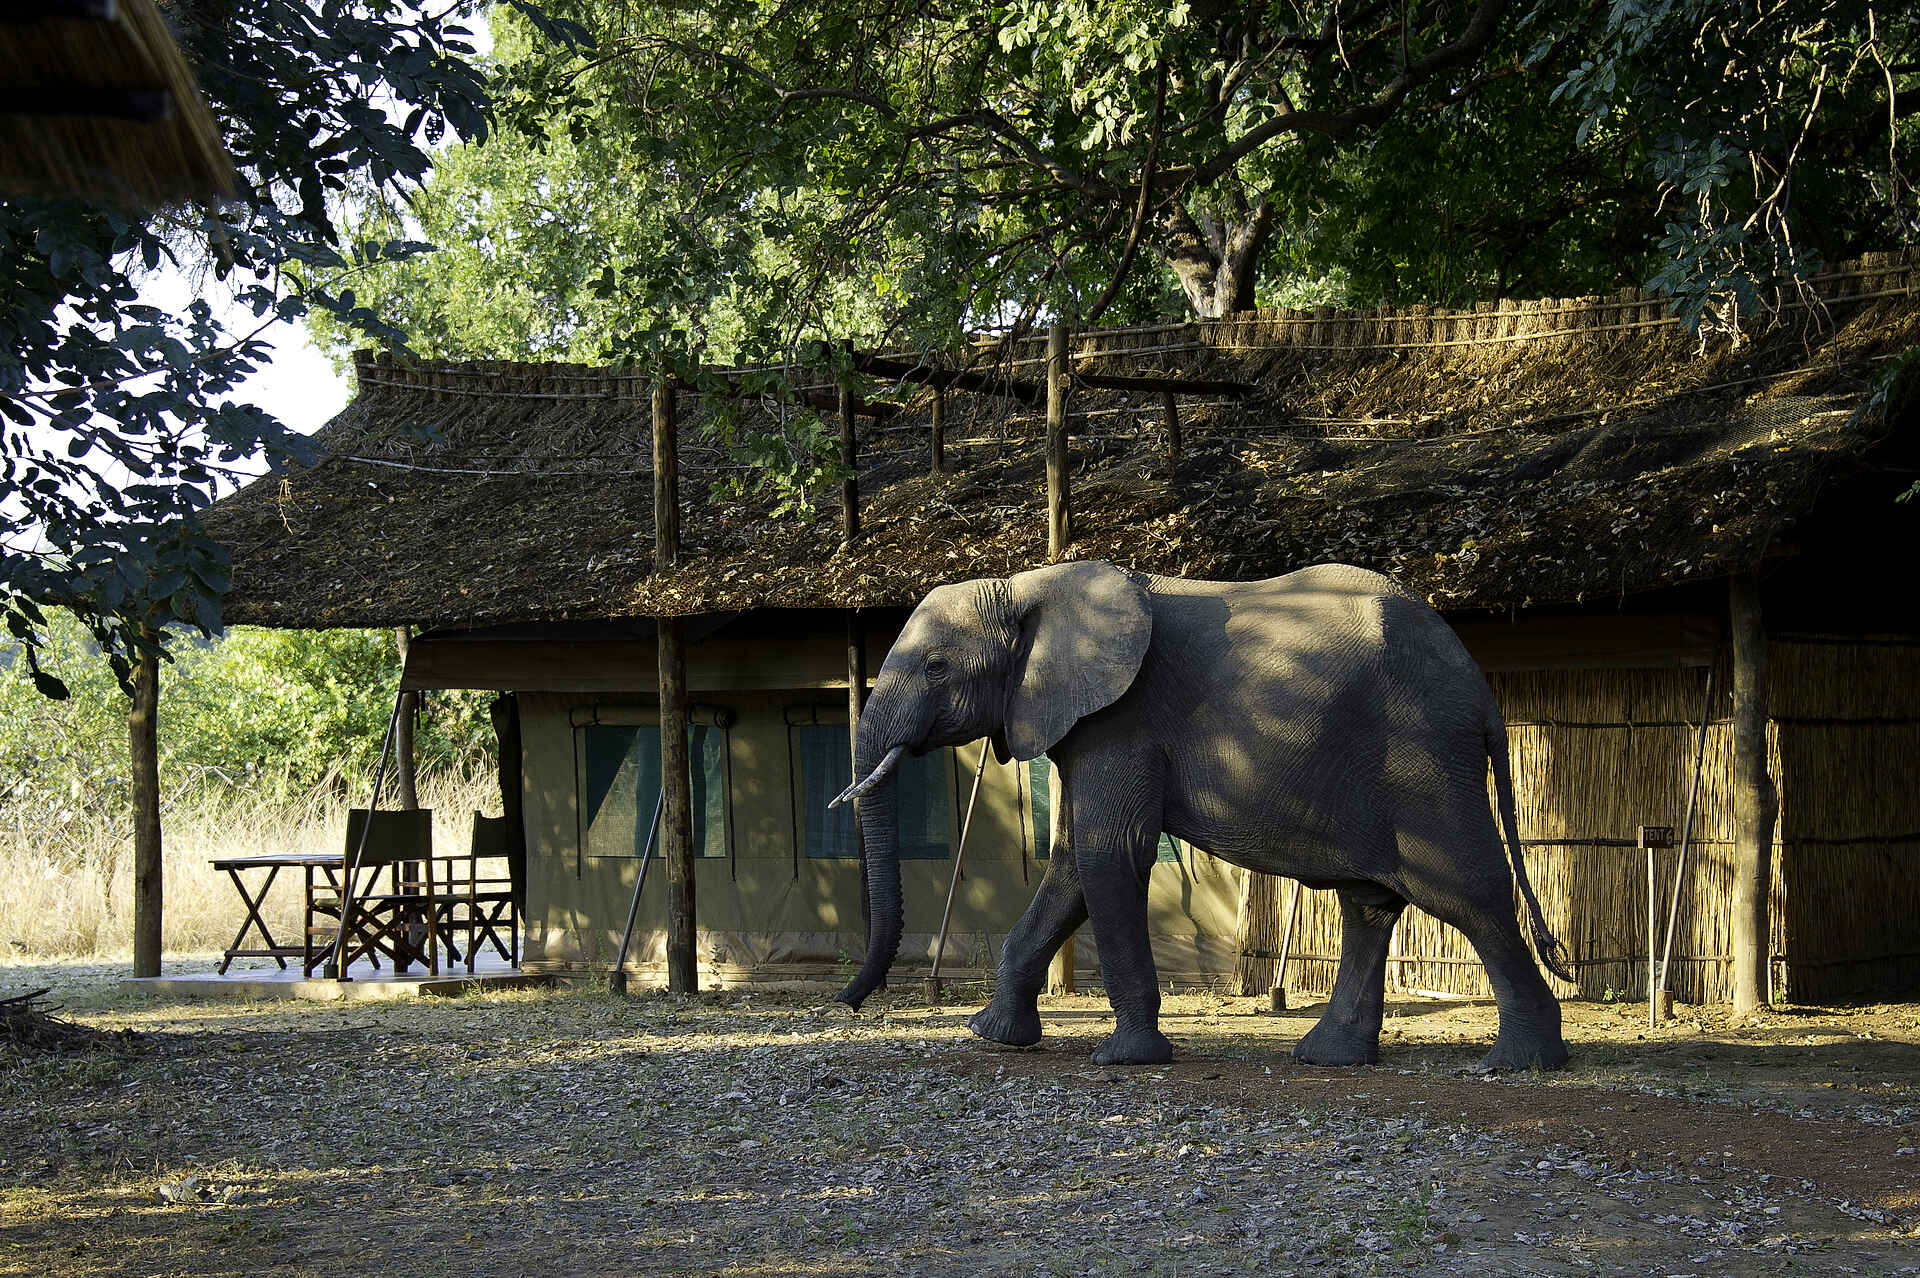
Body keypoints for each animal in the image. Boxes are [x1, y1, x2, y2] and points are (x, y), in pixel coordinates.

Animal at [831, 560, 1574, 1072]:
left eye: (936, 666)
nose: (848, 1002)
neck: (1030, 585)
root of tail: (1479, 689)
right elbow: (1072, 863)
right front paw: (992, 1037)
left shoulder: (1122, 717)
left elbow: (1108, 854)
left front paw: (1125, 1060)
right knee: (1370, 901)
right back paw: (1330, 1057)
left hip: (1421, 753)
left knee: (1465, 892)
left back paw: (1518, 1065)